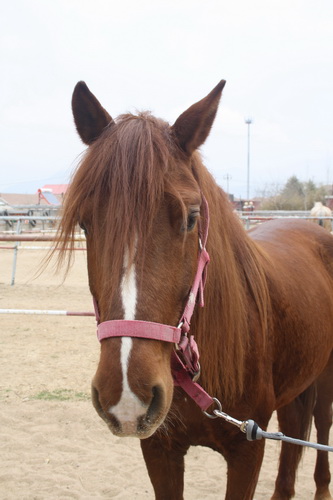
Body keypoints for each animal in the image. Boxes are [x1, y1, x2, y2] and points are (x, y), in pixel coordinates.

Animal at [55, 80, 332, 498]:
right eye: (86, 224)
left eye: (191, 216)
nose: (127, 395)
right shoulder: (160, 450)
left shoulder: (247, 450)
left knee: (322, 425)